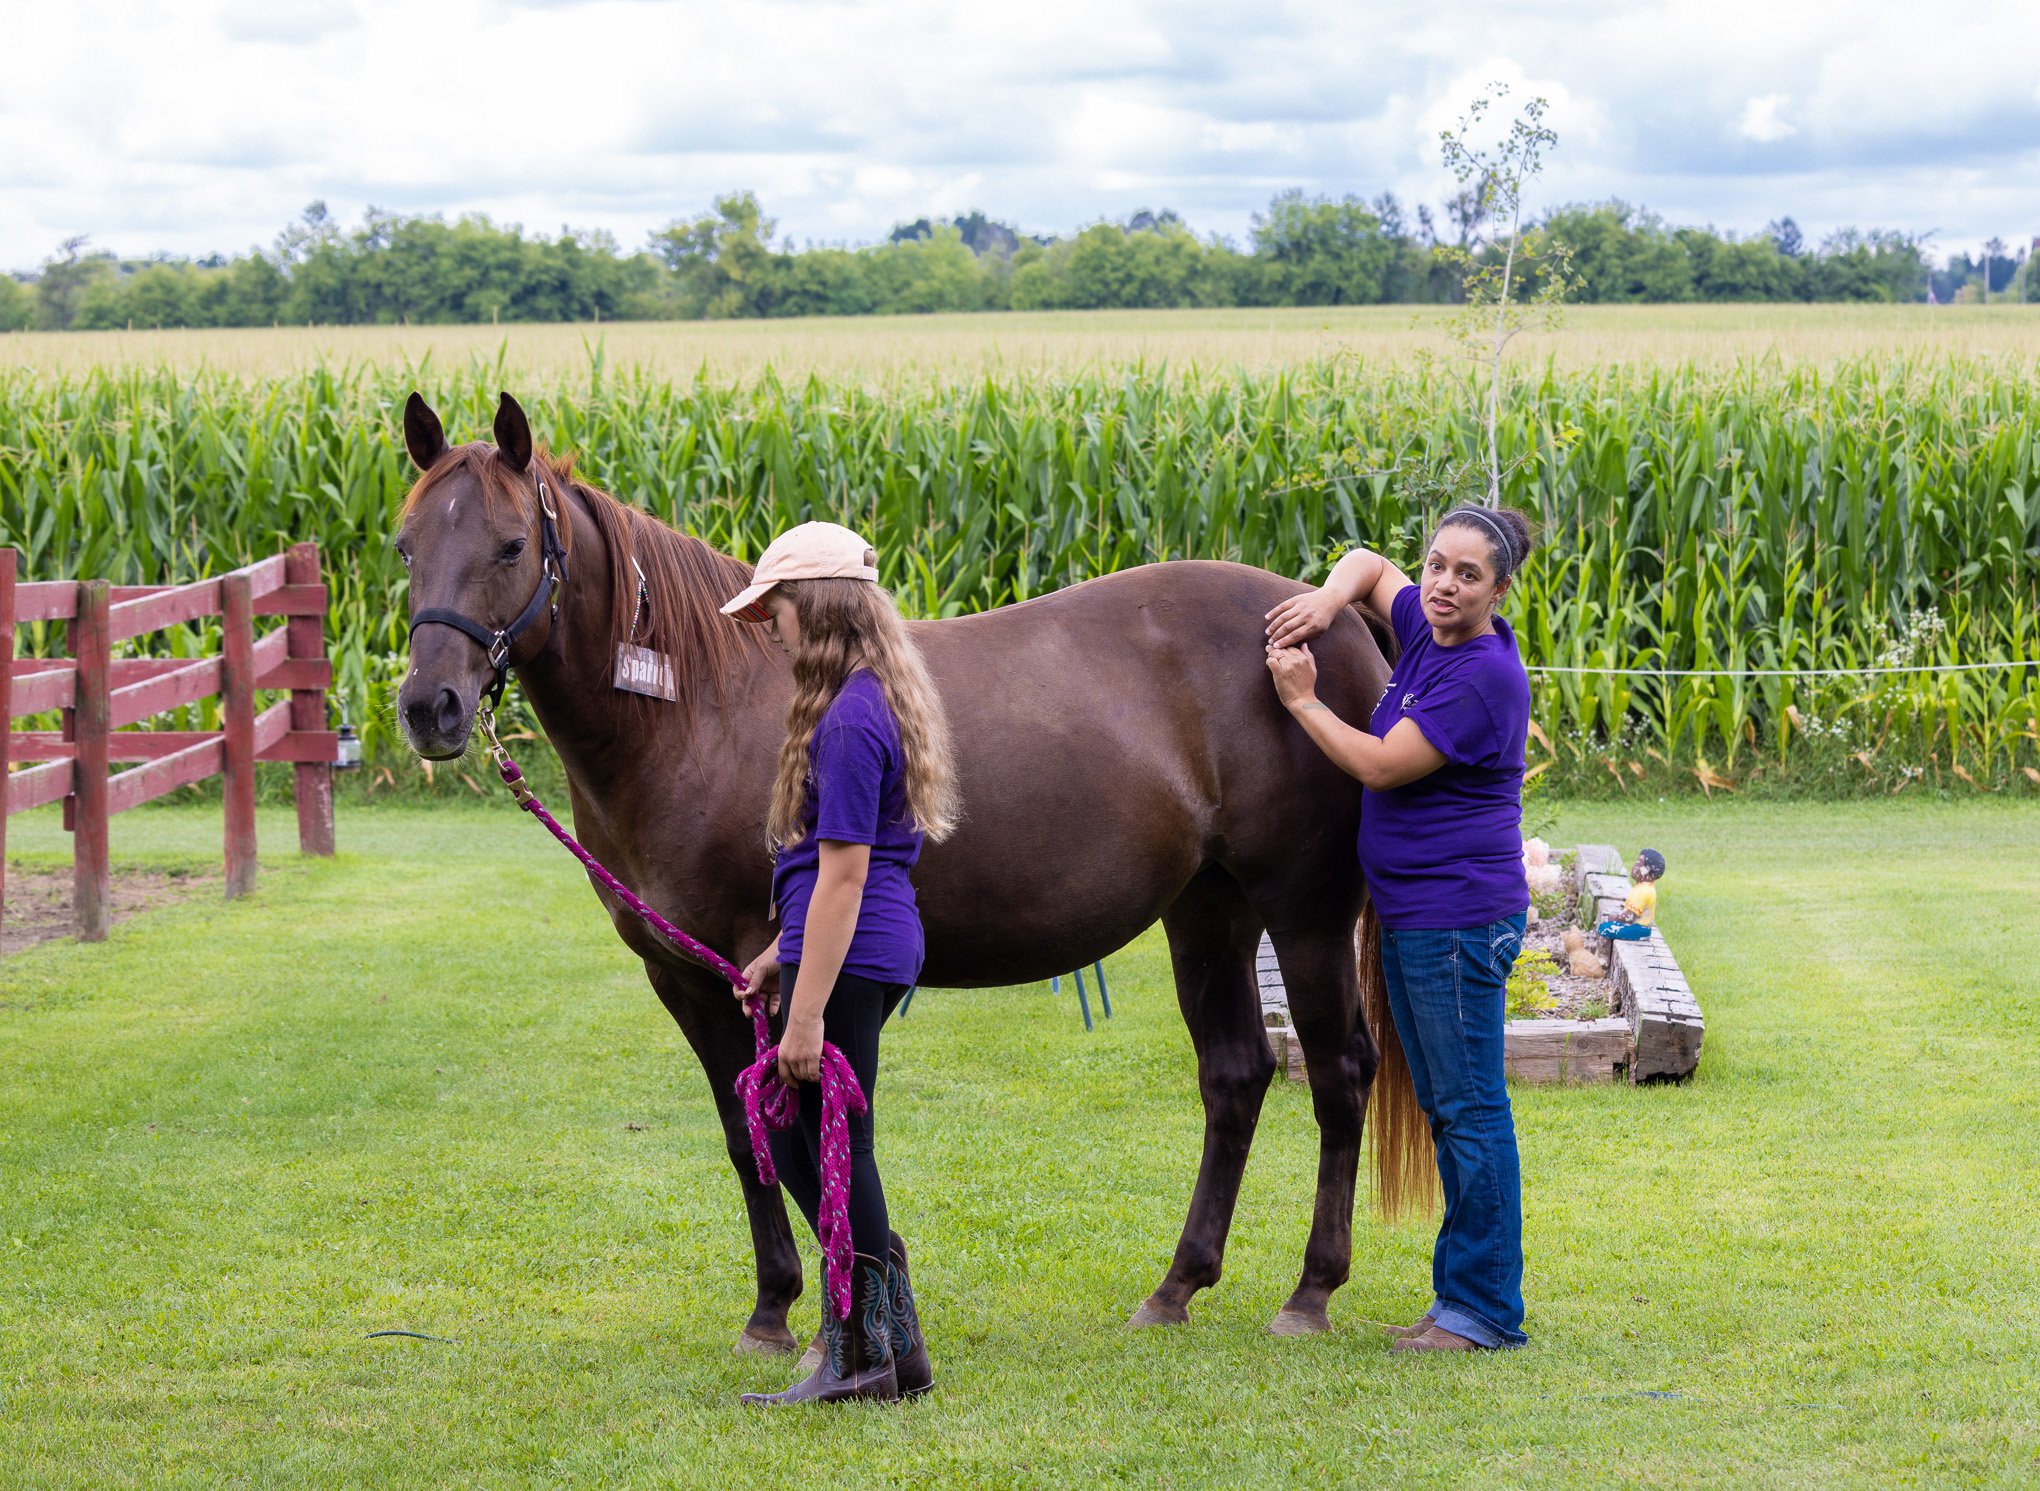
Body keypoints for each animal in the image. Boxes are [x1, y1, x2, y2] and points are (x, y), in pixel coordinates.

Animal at [393, 393, 1419, 1354]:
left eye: (511, 544)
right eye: (405, 546)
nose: (428, 708)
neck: (695, 709)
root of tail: (1326, 616)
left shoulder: (778, 962)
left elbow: (808, 1122)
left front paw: (834, 1319)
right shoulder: (685, 974)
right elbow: (744, 1137)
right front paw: (773, 1308)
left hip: (1306, 914)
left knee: (1339, 1073)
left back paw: (1310, 1292)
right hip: (1210, 912)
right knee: (1235, 1075)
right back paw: (1176, 1286)